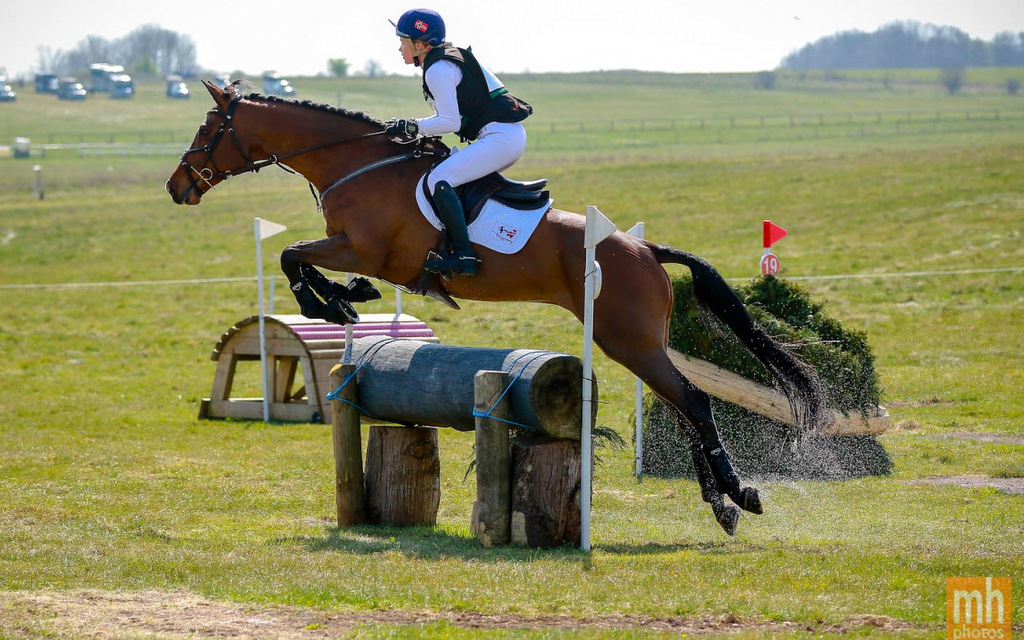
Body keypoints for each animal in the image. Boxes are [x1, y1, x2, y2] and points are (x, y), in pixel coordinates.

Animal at [166, 80, 827, 536]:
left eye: (207, 127)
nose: (177, 186)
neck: (353, 162)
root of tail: (644, 248)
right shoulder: (365, 254)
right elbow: (304, 260)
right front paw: (348, 299)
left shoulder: (365, 247)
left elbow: (290, 255)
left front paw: (328, 305)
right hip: (638, 343)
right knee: (686, 404)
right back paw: (720, 504)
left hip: (627, 339)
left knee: (694, 401)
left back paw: (740, 496)